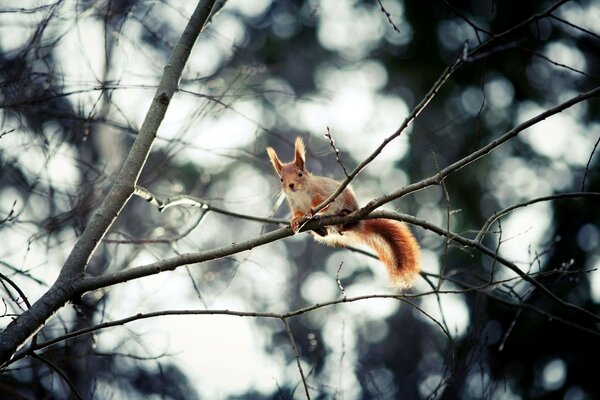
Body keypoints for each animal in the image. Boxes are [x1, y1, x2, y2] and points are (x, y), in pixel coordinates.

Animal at [268, 138, 422, 288]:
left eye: (300, 174)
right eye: (281, 179)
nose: (291, 185)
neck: (300, 193)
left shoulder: (323, 194)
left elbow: (322, 203)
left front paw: (311, 210)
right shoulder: (295, 205)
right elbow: (298, 214)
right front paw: (295, 222)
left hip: (348, 202)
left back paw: (343, 213)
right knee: (327, 233)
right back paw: (321, 229)